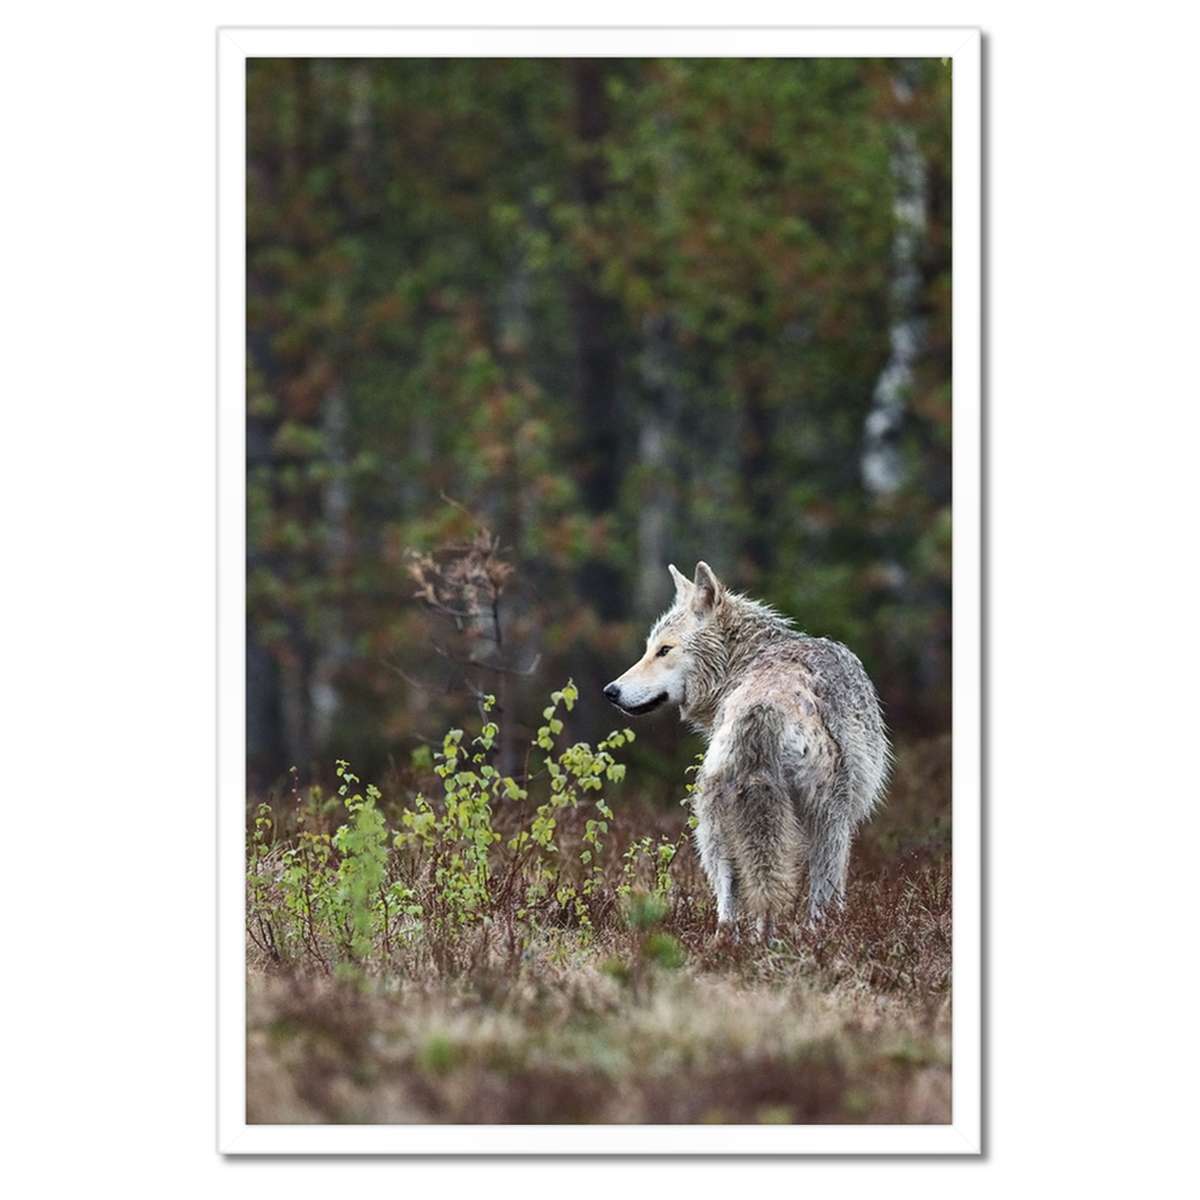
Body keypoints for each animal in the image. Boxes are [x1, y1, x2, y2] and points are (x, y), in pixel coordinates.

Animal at [603, 562, 890, 938]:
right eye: (651, 648)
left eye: (663, 650)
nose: (610, 691)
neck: (745, 658)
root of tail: (762, 707)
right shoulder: (841, 819)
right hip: (826, 820)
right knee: (814, 896)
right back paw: (809, 938)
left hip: (715, 822)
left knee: (730, 901)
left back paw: (735, 942)